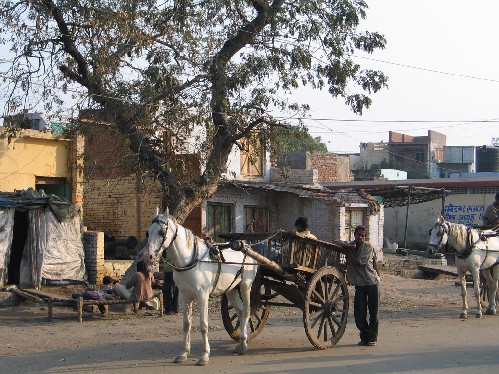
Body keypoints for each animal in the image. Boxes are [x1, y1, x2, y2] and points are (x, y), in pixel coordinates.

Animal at [143, 209, 256, 366]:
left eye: (161, 232)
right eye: (147, 232)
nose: (148, 256)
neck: (191, 260)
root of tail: (246, 246)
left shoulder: (202, 296)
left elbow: (204, 325)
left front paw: (204, 355)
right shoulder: (185, 297)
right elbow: (186, 325)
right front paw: (183, 353)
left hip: (245, 286)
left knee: (246, 312)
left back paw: (244, 345)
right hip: (231, 290)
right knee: (239, 312)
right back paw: (241, 343)